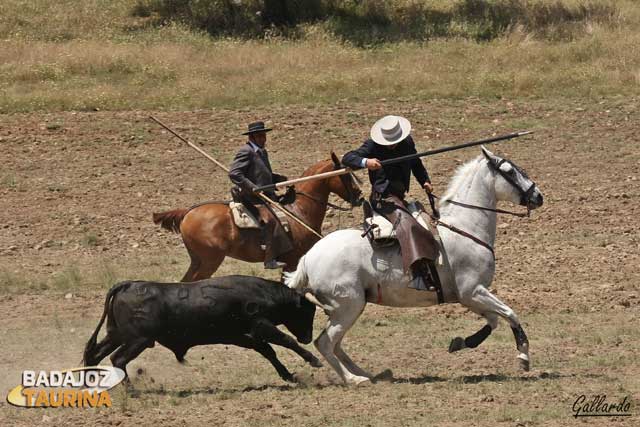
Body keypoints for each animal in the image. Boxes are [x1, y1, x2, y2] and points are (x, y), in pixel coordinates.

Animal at [83, 278, 322, 384]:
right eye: (307, 311)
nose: (308, 337)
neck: (262, 293)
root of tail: (128, 285)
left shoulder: (241, 336)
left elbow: (268, 351)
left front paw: (288, 375)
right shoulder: (261, 325)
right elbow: (286, 340)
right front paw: (313, 360)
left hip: (117, 335)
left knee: (95, 353)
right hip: (138, 340)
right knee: (117, 358)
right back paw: (130, 389)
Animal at [151, 152, 360, 282]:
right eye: (346, 176)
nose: (359, 196)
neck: (299, 210)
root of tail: (188, 212)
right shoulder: (292, 261)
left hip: (197, 261)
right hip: (210, 261)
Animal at [286, 147, 544, 384]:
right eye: (510, 171)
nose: (538, 196)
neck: (465, 229)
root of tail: (308, 257)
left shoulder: (471, 297)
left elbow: (494, 320)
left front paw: (460, 342)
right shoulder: (472, 292)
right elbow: (509, 313)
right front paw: (523, 357)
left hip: (349, 308)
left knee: (335, 344)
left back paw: (370, 374)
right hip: (347, 307)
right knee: (325, 342)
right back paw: (354, 379)